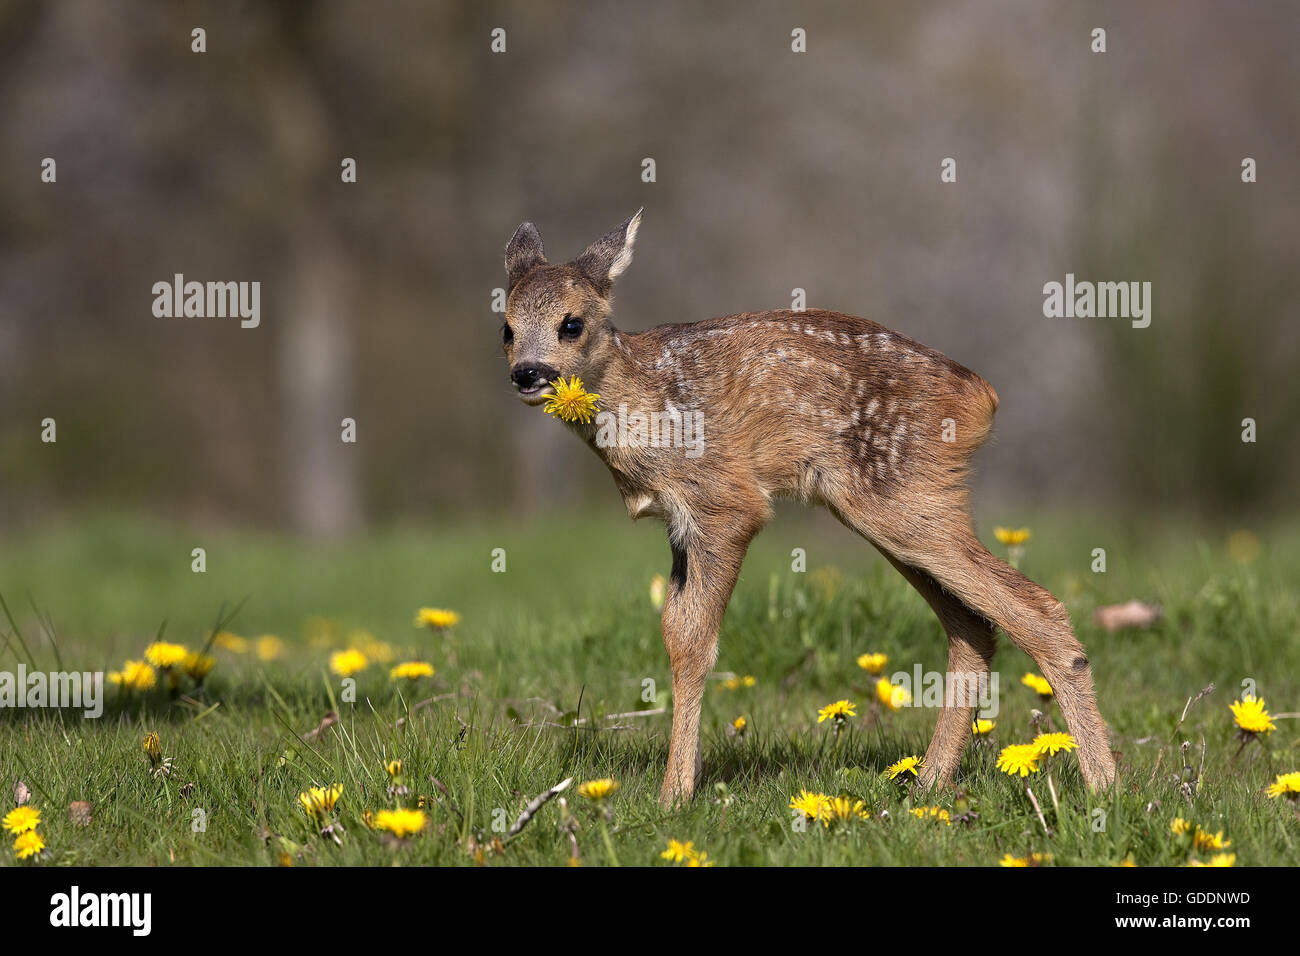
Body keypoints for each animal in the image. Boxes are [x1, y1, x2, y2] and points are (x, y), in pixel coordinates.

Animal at [500, 210, 1117, 808]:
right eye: (505, 327)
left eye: (572, 323)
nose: (526, 373)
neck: (643, 406)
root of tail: (983, 396)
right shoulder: (680, 525)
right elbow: (675, 630)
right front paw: (681, 783)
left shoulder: (725, 500)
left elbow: (695, 642)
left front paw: (674, 796)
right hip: (900, 505)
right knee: (974, 628)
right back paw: (929, 786)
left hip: (901, 498)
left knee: (1036, 608)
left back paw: (1105, 786)